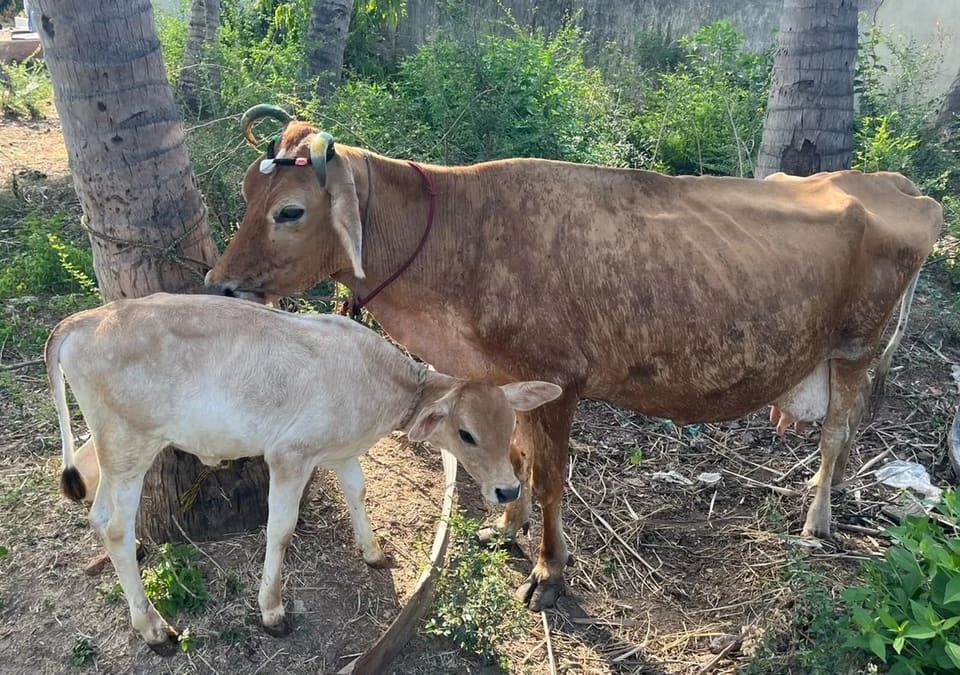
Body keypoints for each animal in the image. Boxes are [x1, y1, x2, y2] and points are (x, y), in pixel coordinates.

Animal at [46, 292, 562, 652]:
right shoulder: (289, 456)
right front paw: (272, 610)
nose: (507, 489)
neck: (381, 385)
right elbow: (280, 530)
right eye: (466, 434)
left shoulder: (341, 452)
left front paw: (373, 553)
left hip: (114, 442)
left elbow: (358, 491)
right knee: (115, 525)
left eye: (510, 424)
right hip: (131, 443)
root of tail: (82, 321)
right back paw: (154, 628)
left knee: (94, 506)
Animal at [204, 104, 943, 611]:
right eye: (244, 192)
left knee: (836, 433)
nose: (218, 284)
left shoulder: (559, 380)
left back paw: (817, 521)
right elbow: (515, 456)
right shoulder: (506, 378)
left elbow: (550, 475)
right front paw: (506, 526)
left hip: (856, 344)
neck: (460, 242)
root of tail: (896, 185)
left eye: (290, 210)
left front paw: (548, 572)